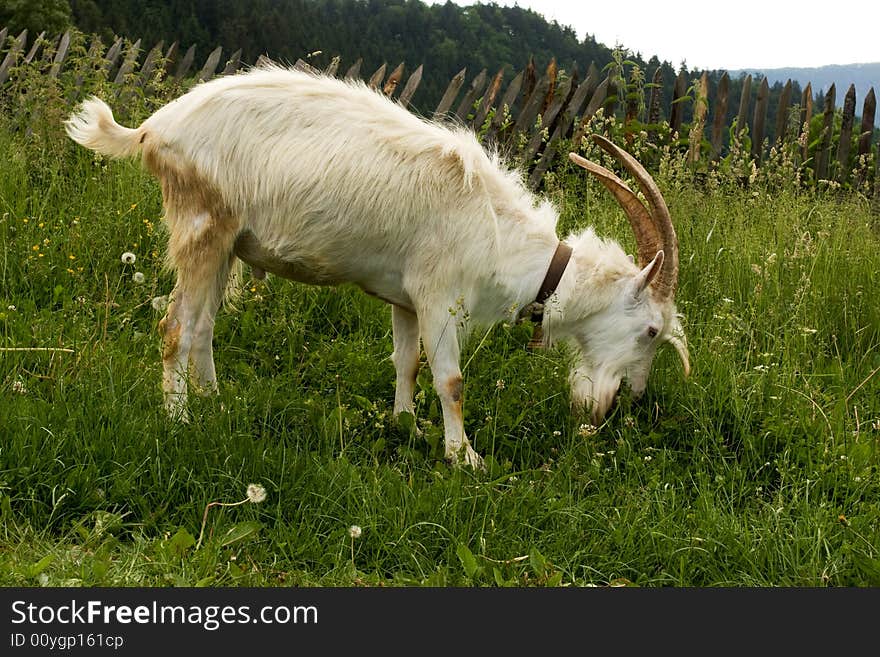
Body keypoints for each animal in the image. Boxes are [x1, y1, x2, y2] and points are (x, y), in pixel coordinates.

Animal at [65, 65, 692, 466]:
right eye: (651, 330)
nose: (628, 401)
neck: (498, 232)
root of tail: (154, 129)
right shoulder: (440, 298)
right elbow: (451, 379)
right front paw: (464, 457)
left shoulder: (405, 300)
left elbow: (406, 364)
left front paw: (405, 425)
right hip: (202, 227)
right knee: (176, 325)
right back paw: (179, 419)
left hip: (226, 245)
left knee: (203, 327)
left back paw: (214, 401)